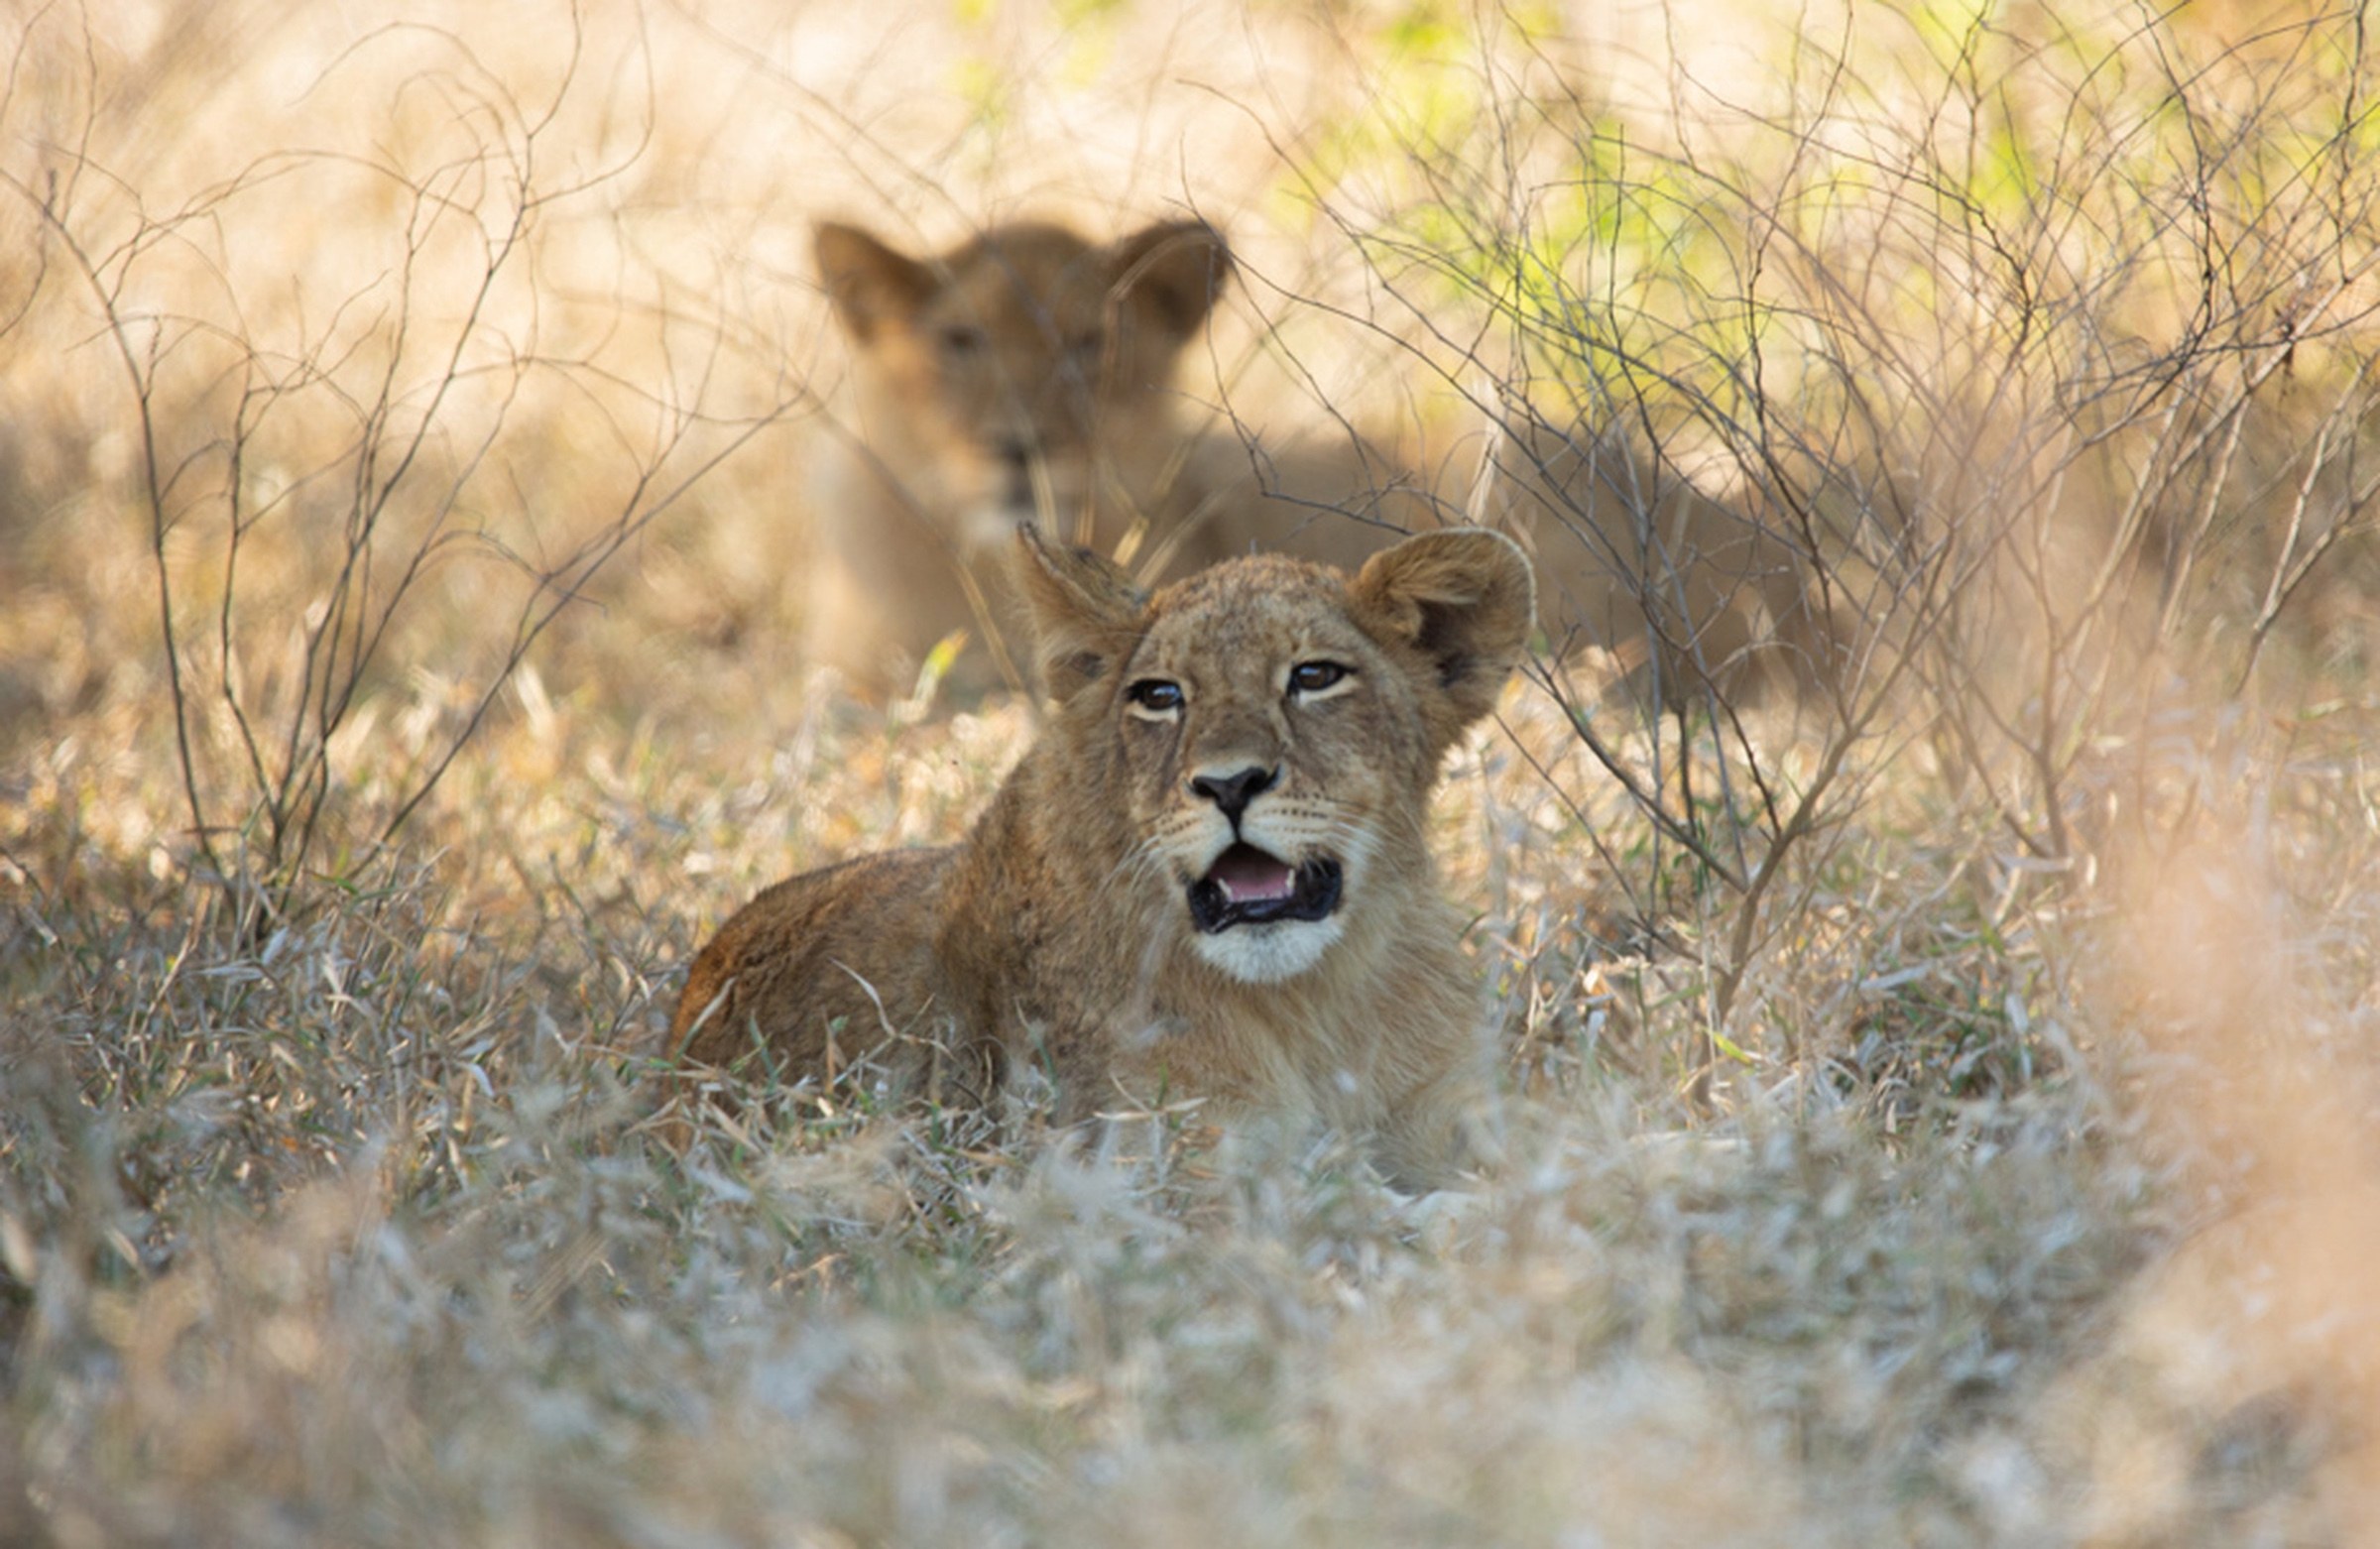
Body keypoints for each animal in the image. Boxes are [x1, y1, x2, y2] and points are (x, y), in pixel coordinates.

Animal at [672, 524, 1536, 1187]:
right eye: (1160, 696)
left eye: (1315, 676)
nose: (1229, 784)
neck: (1313, 1002)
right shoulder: (1160, 1170)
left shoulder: (1453, 1113)